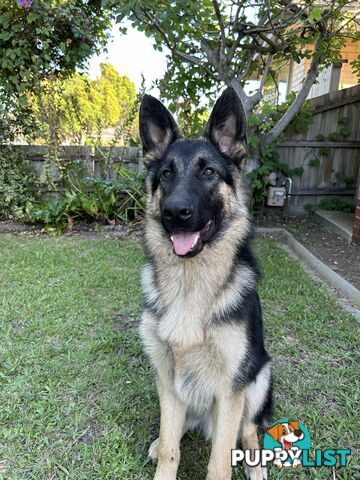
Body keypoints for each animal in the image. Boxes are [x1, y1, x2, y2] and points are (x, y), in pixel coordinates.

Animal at [139, 87, 272, 480]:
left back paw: (256, 465)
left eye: (209, 171)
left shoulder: (231, 389)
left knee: (249, 430)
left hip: (260, 376)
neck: (190, 282)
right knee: (179, 428)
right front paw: (163, 454)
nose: (175, 212)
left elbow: (219, 461)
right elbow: (171, 449)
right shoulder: (167, 378)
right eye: (166, 174)